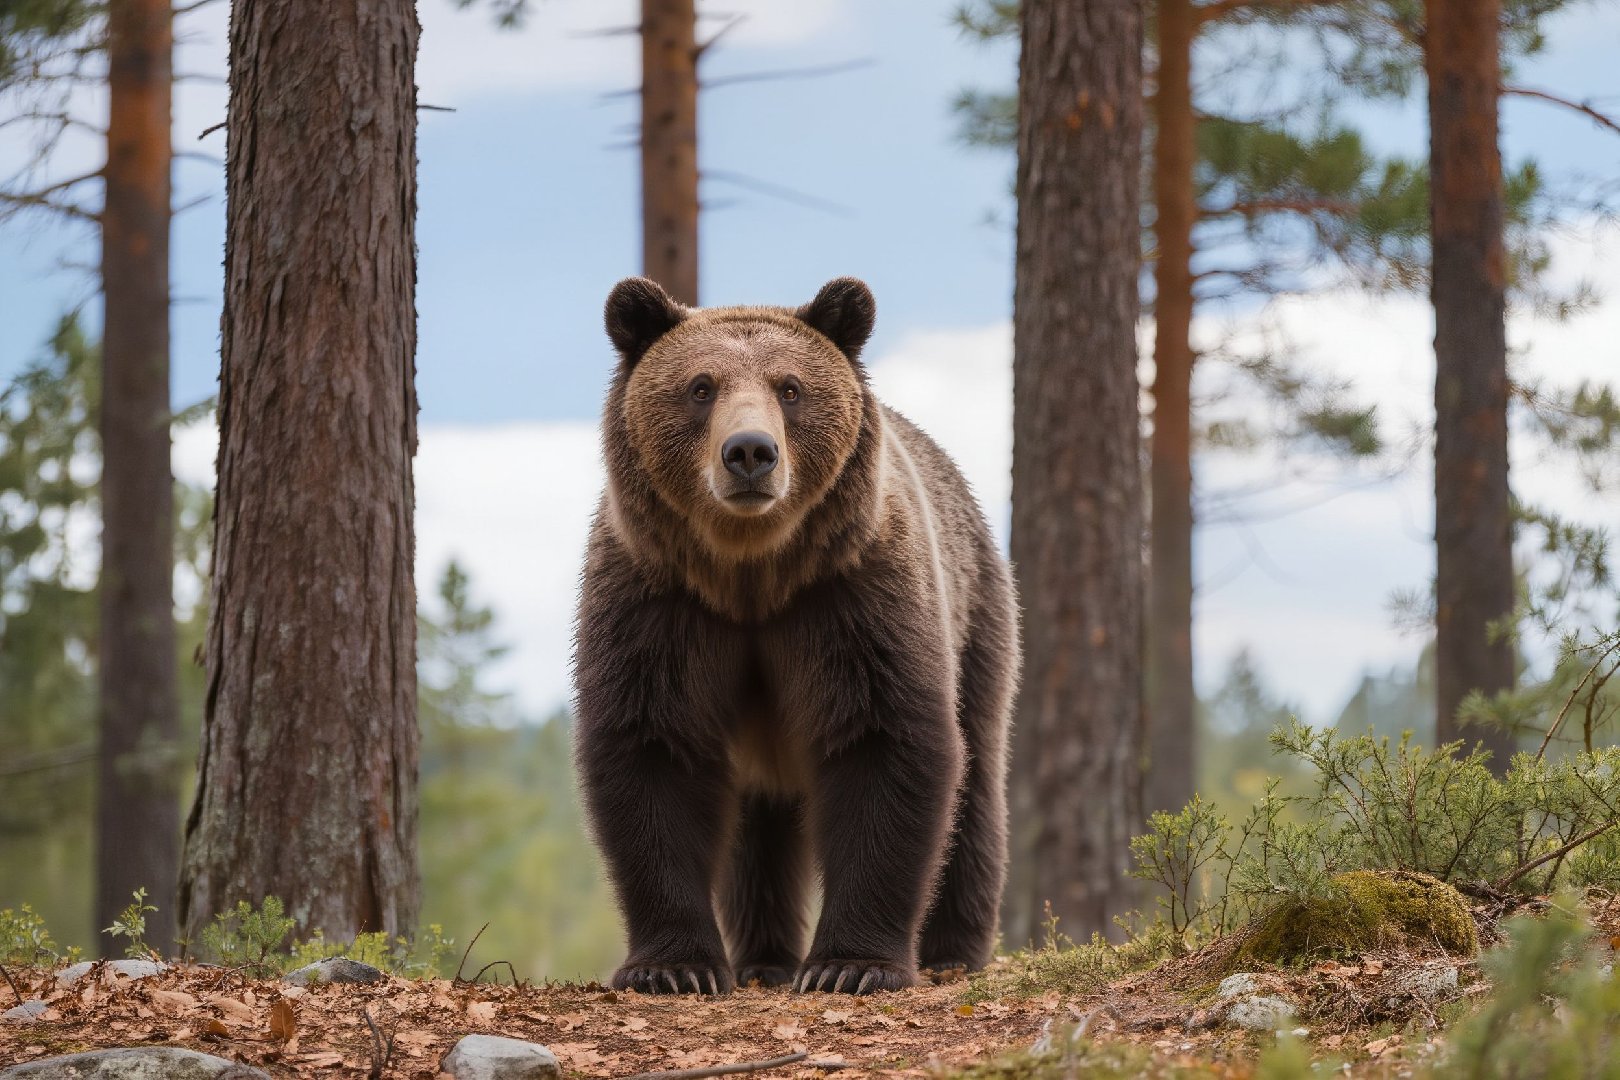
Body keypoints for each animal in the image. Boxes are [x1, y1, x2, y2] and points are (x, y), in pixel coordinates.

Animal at [573, 276, 1020, 996]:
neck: (751, 575)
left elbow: (883, 739)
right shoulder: (656, 599)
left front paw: (851, 965)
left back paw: (953, 951)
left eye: (790, 387)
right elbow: (652, 747)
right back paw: (764, 956)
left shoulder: (853, 596)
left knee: (976, 778)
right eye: (701, 386)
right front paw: (676, 966)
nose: (750, 452)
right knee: (760, 829)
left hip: (975, 613)